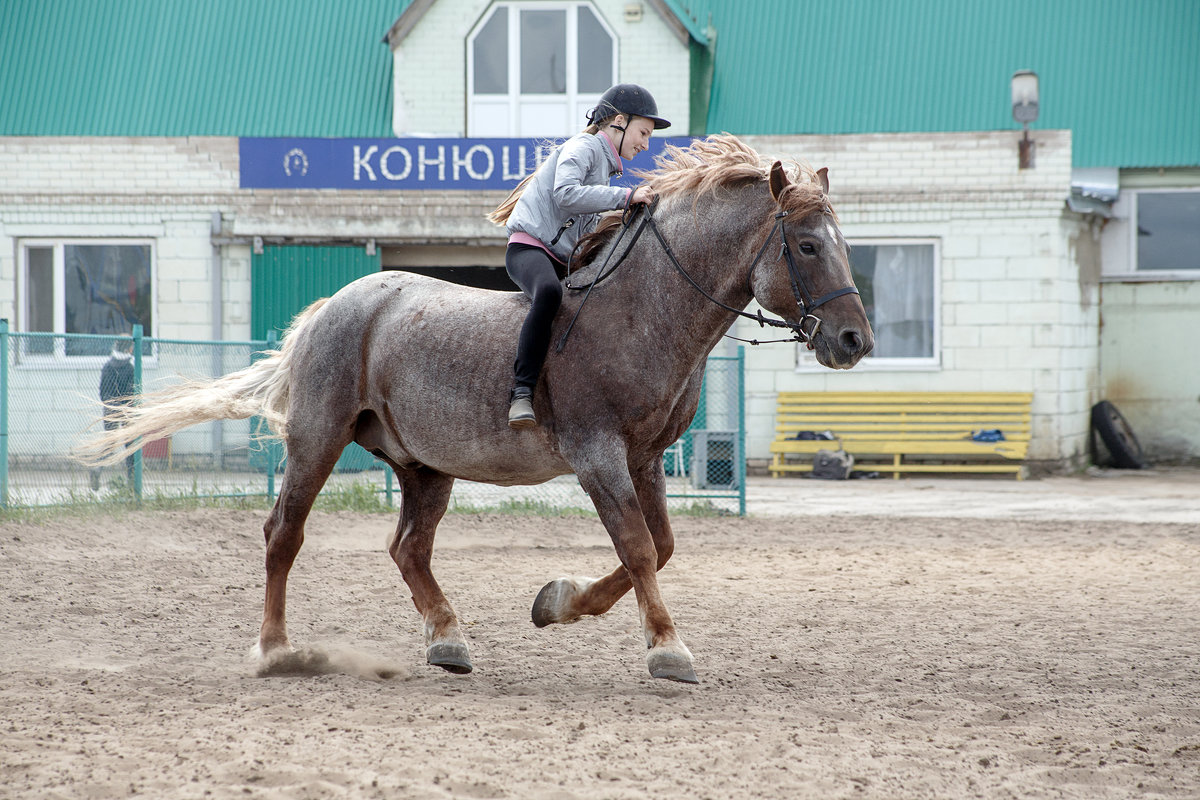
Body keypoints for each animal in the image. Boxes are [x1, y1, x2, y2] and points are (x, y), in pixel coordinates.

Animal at [77, 134, 873, 686]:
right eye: (807, 244)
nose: (854, 341)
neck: (644, 309)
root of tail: (333, 308)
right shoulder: (597, 455)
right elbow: (640, 548)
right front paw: (668, 650)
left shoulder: (644, 459)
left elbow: (660, 546)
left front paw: (557, 602)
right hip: (318, 440)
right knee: (284, 535)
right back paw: (276, 649)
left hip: (425, 466)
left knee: (409, 549)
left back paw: (448, 640)